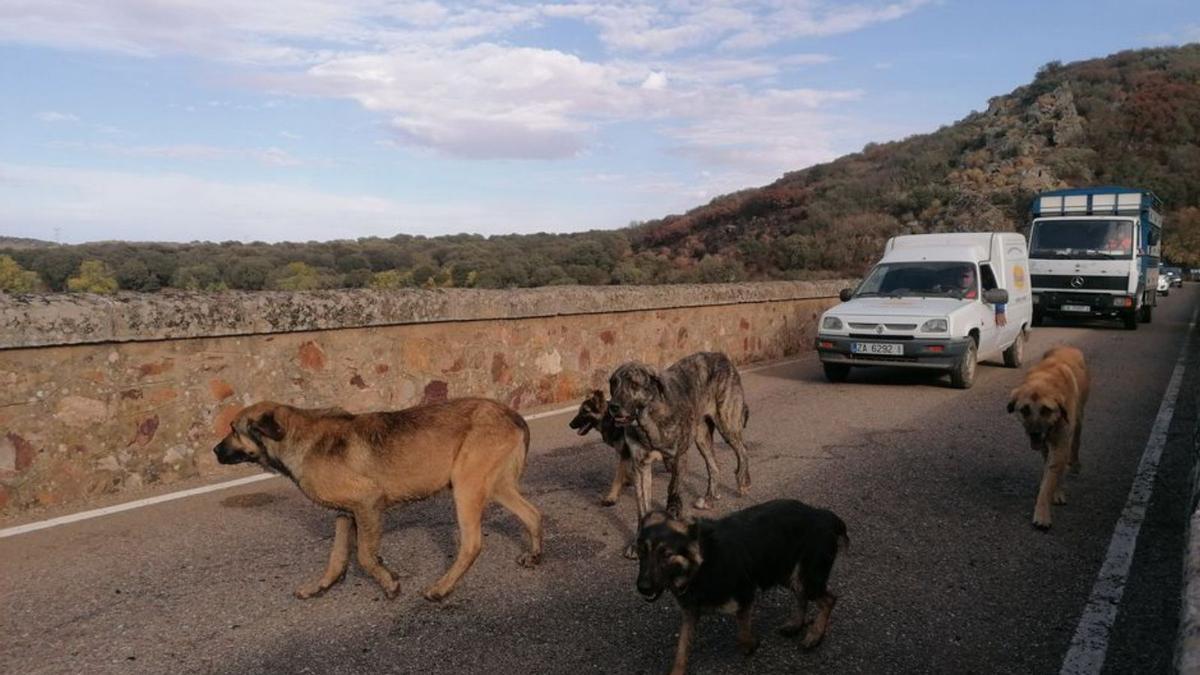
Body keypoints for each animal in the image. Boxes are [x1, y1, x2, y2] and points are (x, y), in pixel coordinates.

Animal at [213, 393, 542, 598]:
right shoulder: (346, 514)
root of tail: (512, 414)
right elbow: (336, 557)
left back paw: (441, 588)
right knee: (533, 514)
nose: (214, 451)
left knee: (472, 544)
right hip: (494, 487)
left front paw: (389, 583)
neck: (294, 436)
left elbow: (364, 556)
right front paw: (321, 586)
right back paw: (535, 555)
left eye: (234, 429)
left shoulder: (367, 502)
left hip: (466, 488)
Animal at [633, 497, 849, 667]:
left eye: (666, 555)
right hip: (787, 574)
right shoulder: (690, 613)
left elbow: (742, 637)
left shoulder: (745, 595)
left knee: (829, 600)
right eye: (641, 552)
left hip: (806, 577)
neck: (702, 565)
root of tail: (822, 514)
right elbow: (681, 652)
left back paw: (815, 635)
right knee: (802, 597)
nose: (642, 588)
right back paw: (796, 624)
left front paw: (751, 645)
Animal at [1003, 343, 1089, 528]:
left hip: (1079, 418)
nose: (1035, 433)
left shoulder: (1061, 443)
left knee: (1076, 443)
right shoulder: (1045, 445)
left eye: (1046, 410)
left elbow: (1050, 479)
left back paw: (1075, 464)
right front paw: (1055, 491)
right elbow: (1050, 471)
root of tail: (1067, 346)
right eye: (1025, 410)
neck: (1045, 380)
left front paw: (1042, 512)